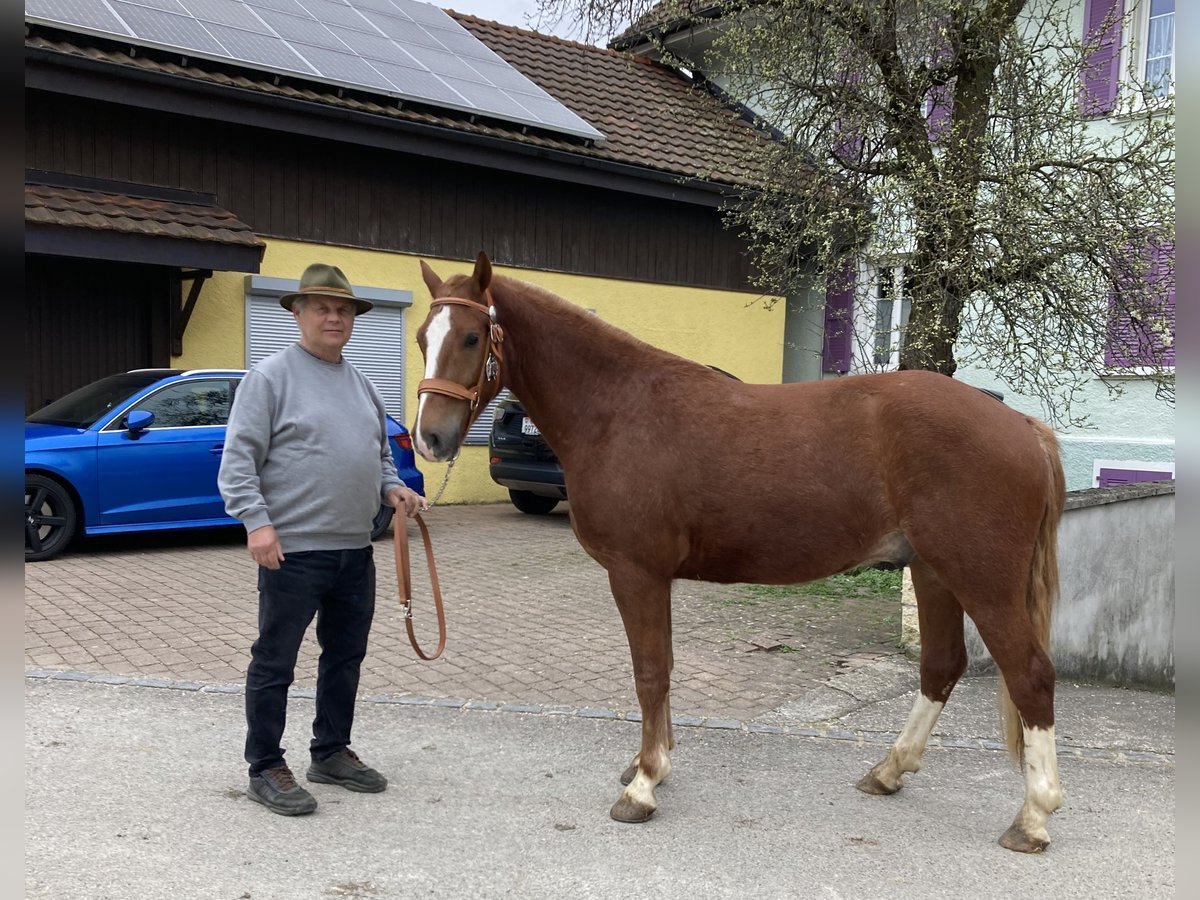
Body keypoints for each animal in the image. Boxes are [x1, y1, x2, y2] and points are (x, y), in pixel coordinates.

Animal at [415, 252, 1070, 854]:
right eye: (424, 336)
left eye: (472, 336)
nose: (430, 437)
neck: (617, 409)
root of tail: (1021, 426)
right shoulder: (657, 577)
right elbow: (664, 668)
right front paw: (652, 764)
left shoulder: (635, 572)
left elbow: (649, 673)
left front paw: (642, 787)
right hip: (933, 573)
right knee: (941, 666)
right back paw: (889, 770)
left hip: (983, 581)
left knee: (1029, 675)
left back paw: (1033, 816)